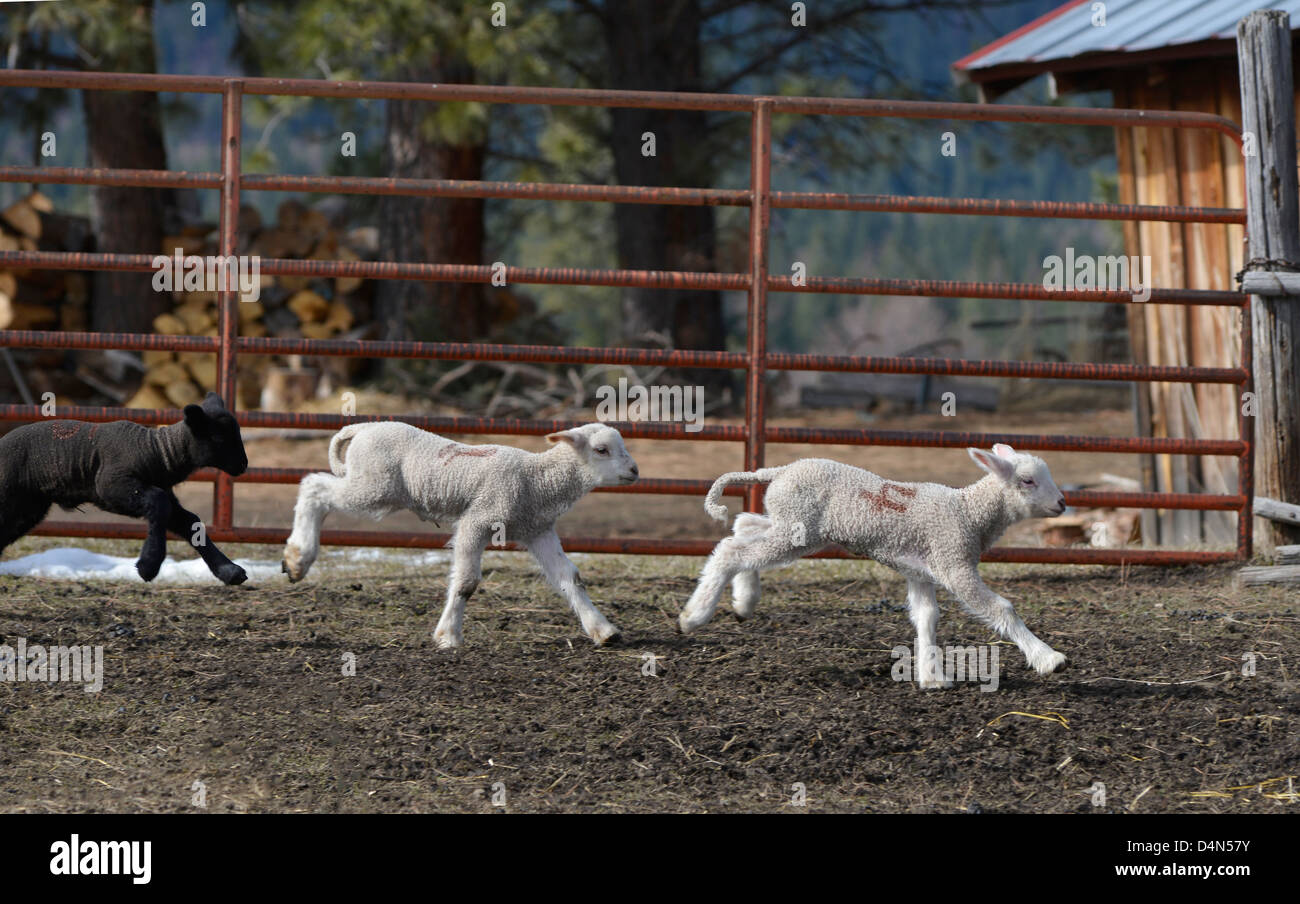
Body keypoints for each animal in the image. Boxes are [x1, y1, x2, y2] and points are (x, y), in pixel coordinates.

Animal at [0, 392, 250, 582]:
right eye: (218, 437)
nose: (243, 464)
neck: (156, 451)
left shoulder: (161, 495)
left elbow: (190, 521)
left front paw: (230, 572)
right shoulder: (111, 486)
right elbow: (158, 502)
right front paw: (148, 566)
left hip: (28, 508)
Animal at [282, 424, 637, 650]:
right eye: (601, 450)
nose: (635, 471)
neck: (537, 478)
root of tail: (361, 427)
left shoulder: (537, 530)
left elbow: (570, 577)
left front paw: (603, 630)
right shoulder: (477, 521)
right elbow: (466, 583)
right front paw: (448, 636)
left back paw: (297, 559)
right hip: (373, 487)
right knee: (314, 487)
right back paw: (298, 556)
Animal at [681, 444, 1066, 686]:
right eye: (1027, 481)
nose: (1063, 503)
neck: (968, 511)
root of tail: (780, 470)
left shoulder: (921, 569)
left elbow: (927, 617)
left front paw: (932, 678)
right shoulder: (953, 560)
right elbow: (1002, 608)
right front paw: (1048, 658)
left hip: (793, 526)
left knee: (743, 526)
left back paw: (744, 600)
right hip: (797, 529)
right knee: (731, 550)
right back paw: (694, 616)